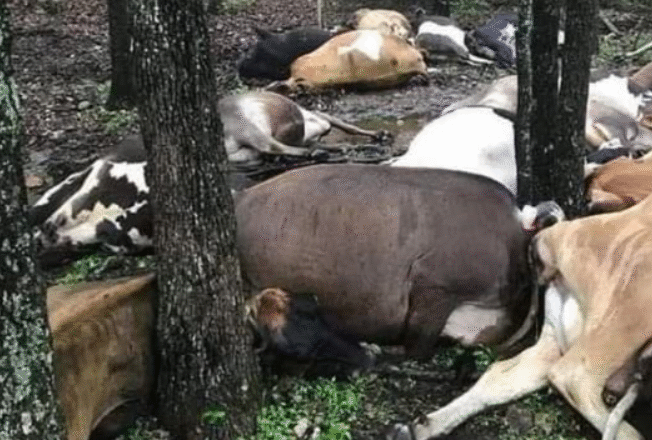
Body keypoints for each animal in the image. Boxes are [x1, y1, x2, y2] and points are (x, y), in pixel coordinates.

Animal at [388, 193, 652, 440]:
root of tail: (554, 238)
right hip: (631, 305)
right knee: (574, 376)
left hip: (557, 340)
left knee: (502, 374)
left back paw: (420, 426)